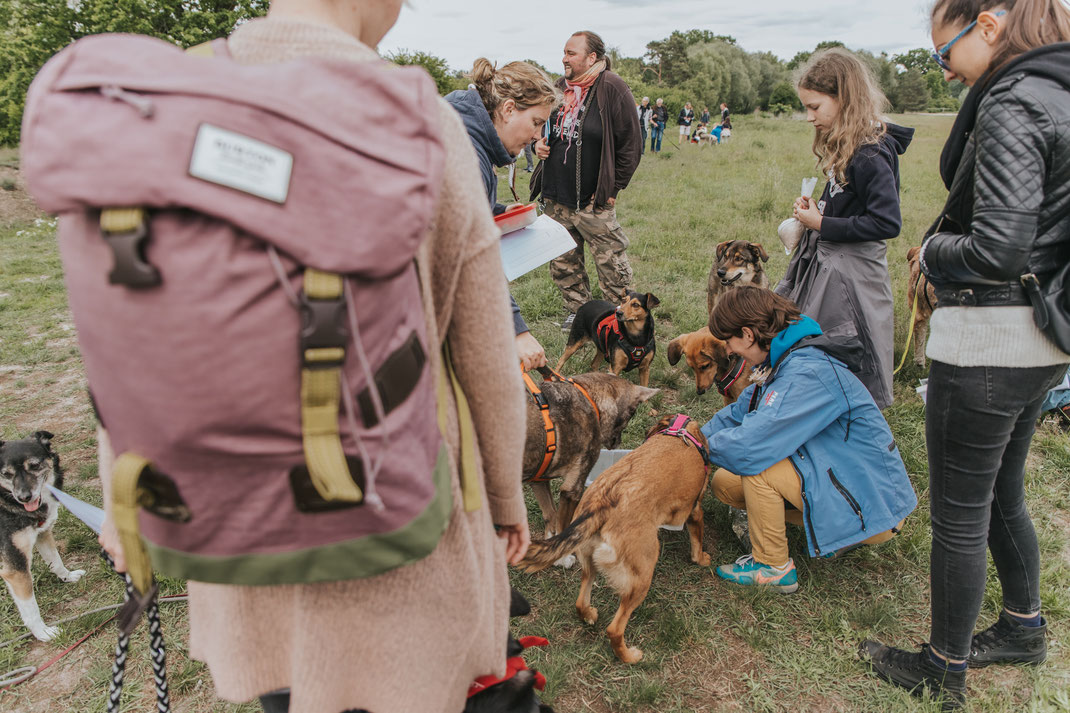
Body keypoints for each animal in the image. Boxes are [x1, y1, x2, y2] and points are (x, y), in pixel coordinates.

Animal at [1, 430, 84, 642]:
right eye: (6, 474)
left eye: (35, 466)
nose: (24, 497)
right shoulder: (15, 568)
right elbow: (31, 609)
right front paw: (43, 633)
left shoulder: (42, 534)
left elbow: (55, 561)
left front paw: (68, 577)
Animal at [517, 413, 710, 663]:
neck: (679, 431)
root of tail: (602, 503)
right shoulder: (696, 511)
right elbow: (697, 542)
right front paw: (702, 559)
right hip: (641, 576)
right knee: (615, 629)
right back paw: (629, 656)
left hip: (589, 563)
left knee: (581, 601)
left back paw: (589, 615)